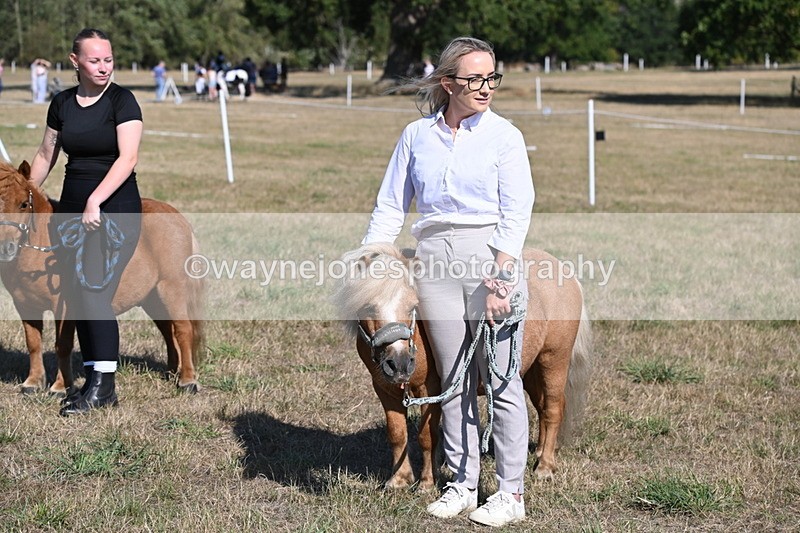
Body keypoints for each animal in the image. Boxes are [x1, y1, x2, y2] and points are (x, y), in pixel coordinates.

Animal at [0, 160, 203, 396]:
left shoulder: (65, 307)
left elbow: (63, 344)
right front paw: (32, 383)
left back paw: (188, 380)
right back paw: (171, 372)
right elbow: (33, 343)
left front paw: (60, 387)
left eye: (24, 204)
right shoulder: (25, 305)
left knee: (182, 330)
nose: (6, 248)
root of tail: (176, 215)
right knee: (167, 331)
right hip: (152, 299)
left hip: (171, 290)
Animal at [333, 242, 593, 490]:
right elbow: (397, 434)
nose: (399, 364)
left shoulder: (430, 390)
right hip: (529, 371)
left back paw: (545, 467)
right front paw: (398, 481)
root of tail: (565, 272)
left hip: (553, 361)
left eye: (412, 306)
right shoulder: (385, 390)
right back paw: (539, 452)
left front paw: (426, 483)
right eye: (368, 308)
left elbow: (427, 436)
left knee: (553, 409)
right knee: (542, 407)